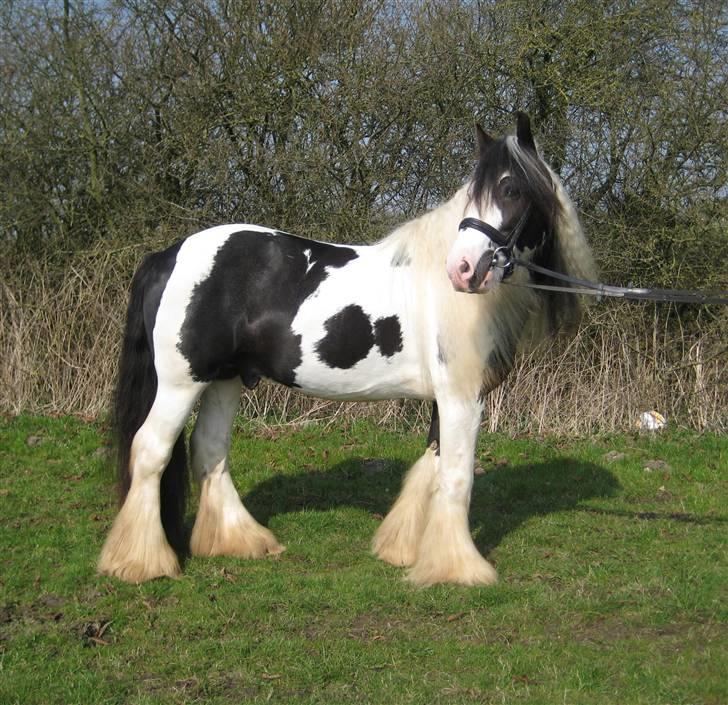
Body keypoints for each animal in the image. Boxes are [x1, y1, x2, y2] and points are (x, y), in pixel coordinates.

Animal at [96, 115, 596, 584]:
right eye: (476, 194)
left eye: (511, 189)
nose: (463, 270)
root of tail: (170, 255)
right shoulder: (462, 399)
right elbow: (456, 476)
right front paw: (459, 569)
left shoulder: (447, 399)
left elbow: (431, 467)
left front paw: (405, 550)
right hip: (182, 383)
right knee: (150, 450)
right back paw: (139, 562)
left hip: (225, 379)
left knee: (209, 450)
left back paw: (239, 541)